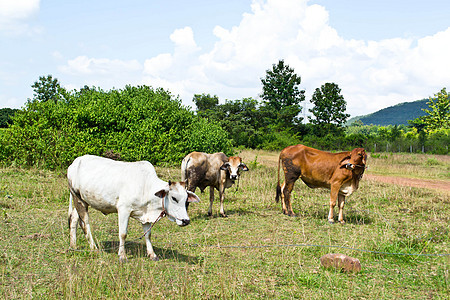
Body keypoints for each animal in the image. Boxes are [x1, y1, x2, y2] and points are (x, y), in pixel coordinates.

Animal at [67, 156, 200, 262]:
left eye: (186, 199)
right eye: (174, 198)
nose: (186, 221)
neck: (146, 187)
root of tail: (75, 162)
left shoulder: (145, 215)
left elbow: (148, 235)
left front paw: (152, 254)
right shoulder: (123, 210)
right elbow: (123, 234)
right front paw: (122, 256)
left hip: (82, 201)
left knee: (74, 218)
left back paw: (73, 246)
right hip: (78, 198)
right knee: (85, 223)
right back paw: (94, 248)